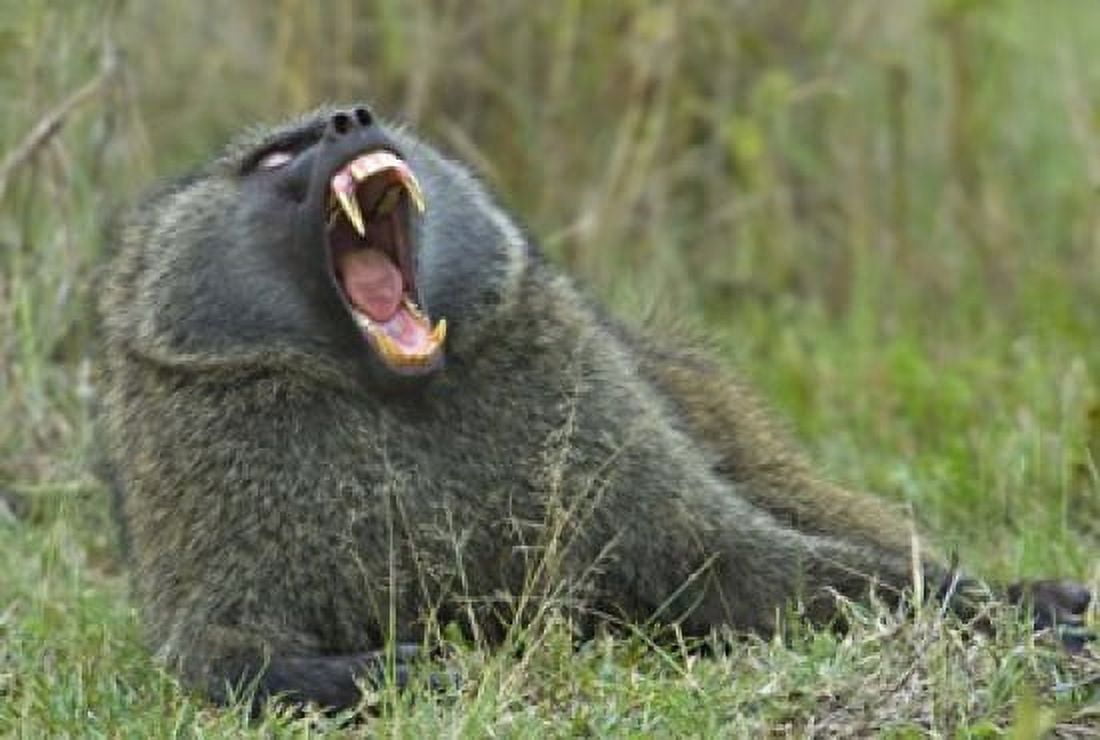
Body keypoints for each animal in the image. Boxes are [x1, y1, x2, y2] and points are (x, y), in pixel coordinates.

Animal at [96, 104, 1092, 713]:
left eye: (357, 120)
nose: (351, 119)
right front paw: (379, 676)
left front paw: (1013, 622)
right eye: (274, 158)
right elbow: (217, 655)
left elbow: (747, 564)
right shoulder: (204, 449)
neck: (383, 389)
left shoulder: (578, 387)